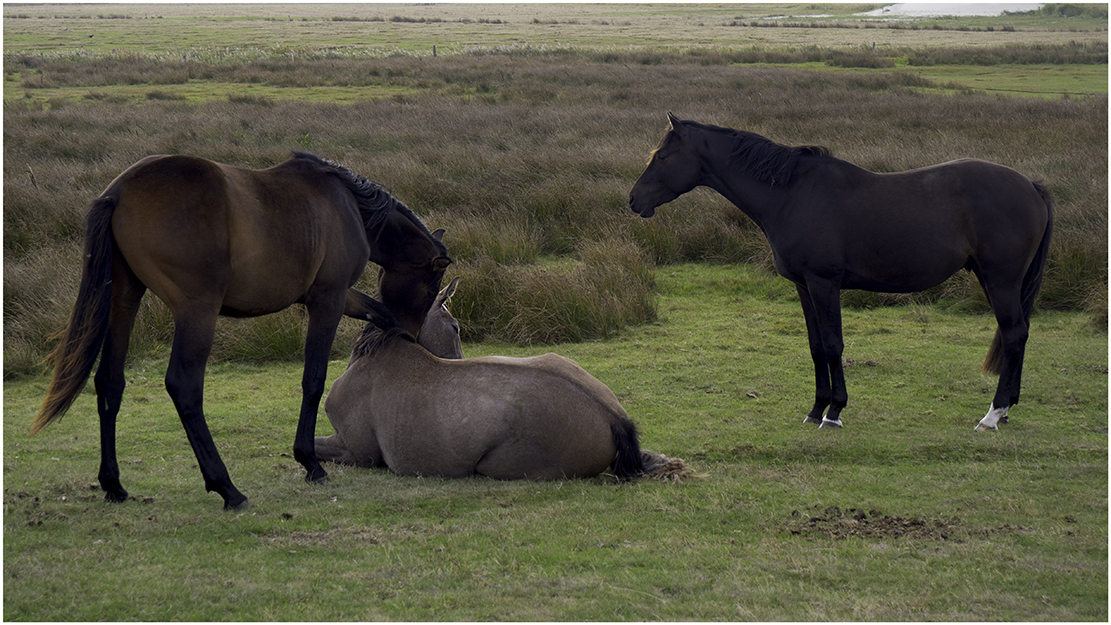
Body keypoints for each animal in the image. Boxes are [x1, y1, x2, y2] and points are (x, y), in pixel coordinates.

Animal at [34, 152, 451, 508]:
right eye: (431, 286)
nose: (414, 335)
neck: (350, 206)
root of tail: (119, 191)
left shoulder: (337, 296)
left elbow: (380, 314)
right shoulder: (328, 299)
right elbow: (313, 379)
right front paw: (309, 462)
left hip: (124, 298)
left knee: (110, 382)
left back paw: (114, 485)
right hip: (197, 311)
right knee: (184, 386)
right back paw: (227, 488)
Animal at [631, 114, 1053, 432]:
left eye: (663, 156)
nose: (634, 199)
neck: (792, 194)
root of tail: (1031, 185)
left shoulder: (824, 283)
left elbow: (834, 344)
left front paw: (834, 413)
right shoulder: (804, 287)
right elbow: (817, 347)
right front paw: (816, 408)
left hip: (1001, 279)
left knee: (1014, 334)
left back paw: (993, 414)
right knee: (1019, 335)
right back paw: (1007, 408)